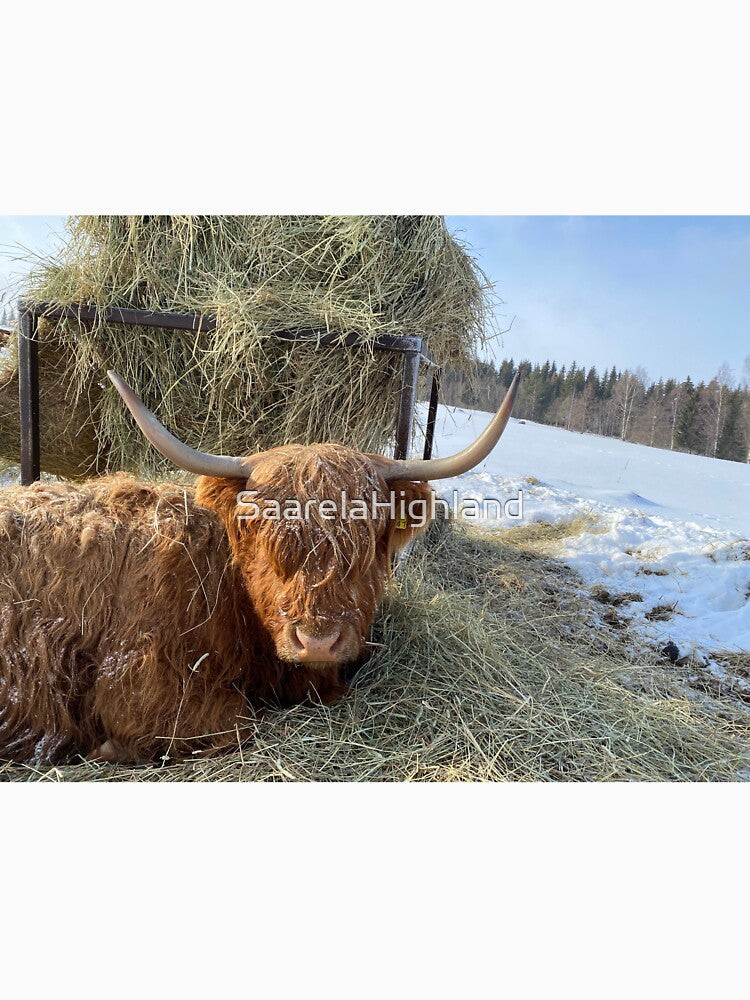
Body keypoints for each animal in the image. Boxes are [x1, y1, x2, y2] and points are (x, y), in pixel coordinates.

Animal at [0, 371, 520, 765]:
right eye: (271, 546)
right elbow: (236, 722)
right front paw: (107, 749)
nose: (318, 640)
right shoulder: (139, 686)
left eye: (363, 542)